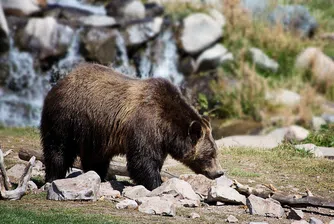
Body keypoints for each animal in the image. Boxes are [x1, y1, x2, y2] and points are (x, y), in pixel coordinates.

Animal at [41, 63, 224, 191]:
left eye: (215, 152)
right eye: (211, 154)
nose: (219, 173)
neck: (167, 127)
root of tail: (60, 81)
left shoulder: (160, 140)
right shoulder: (145, 125)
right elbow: (143, 160)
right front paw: (156, 183)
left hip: (94, 131)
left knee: (95, 157)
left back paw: (98, 176)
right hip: (67, 117)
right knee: (58, 148)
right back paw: (53, 176)